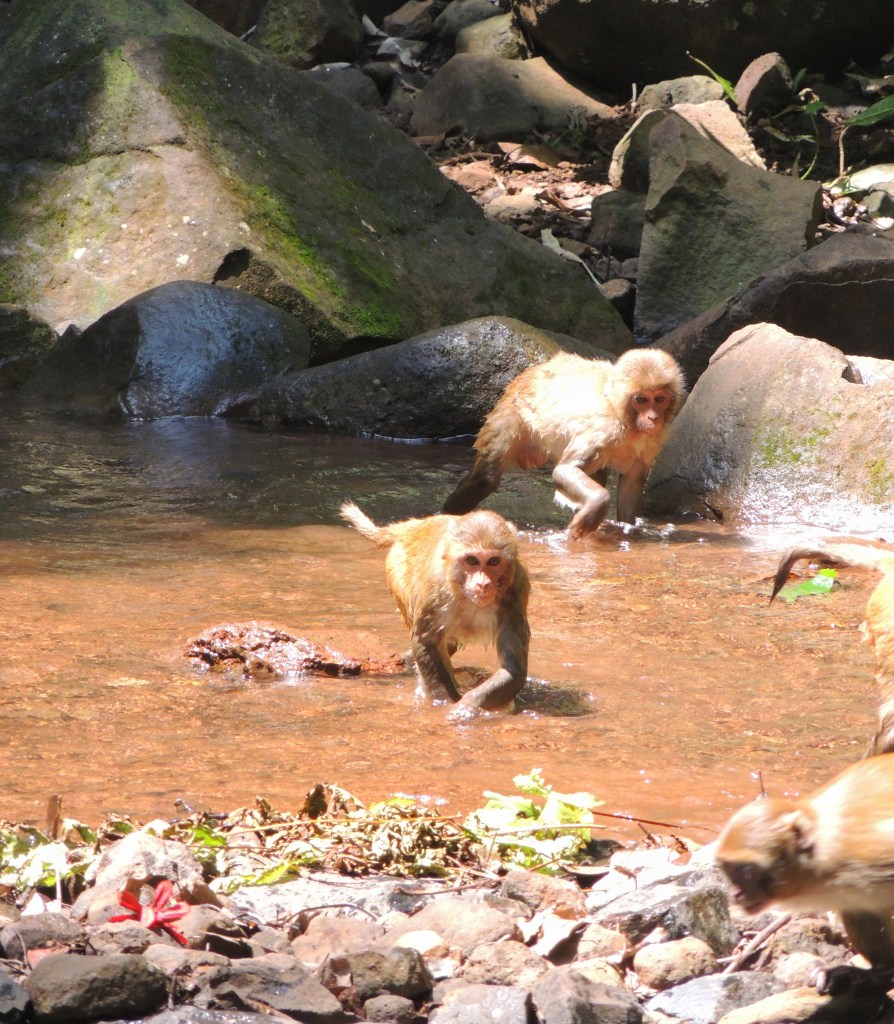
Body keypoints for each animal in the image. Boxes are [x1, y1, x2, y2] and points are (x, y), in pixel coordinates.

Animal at [339, 502, 530, 718]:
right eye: (472, 561)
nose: (483, 584)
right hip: (397, 571)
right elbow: (425, 642)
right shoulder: (434, 586)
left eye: (494, 561)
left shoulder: (516, 591)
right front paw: (445, 702)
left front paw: (466, 705)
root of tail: (414, 526)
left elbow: (514, 668)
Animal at [442, 348, 685, 540]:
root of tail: (529, 373)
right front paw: (595, 508)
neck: (626, 419)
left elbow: (631, 486)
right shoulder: (605, 430)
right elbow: (564, 471)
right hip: (511, 413)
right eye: (642, 400)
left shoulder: (652, 441)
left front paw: (629, 530)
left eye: (659, 399)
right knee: (486, 479)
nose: (653, 417)